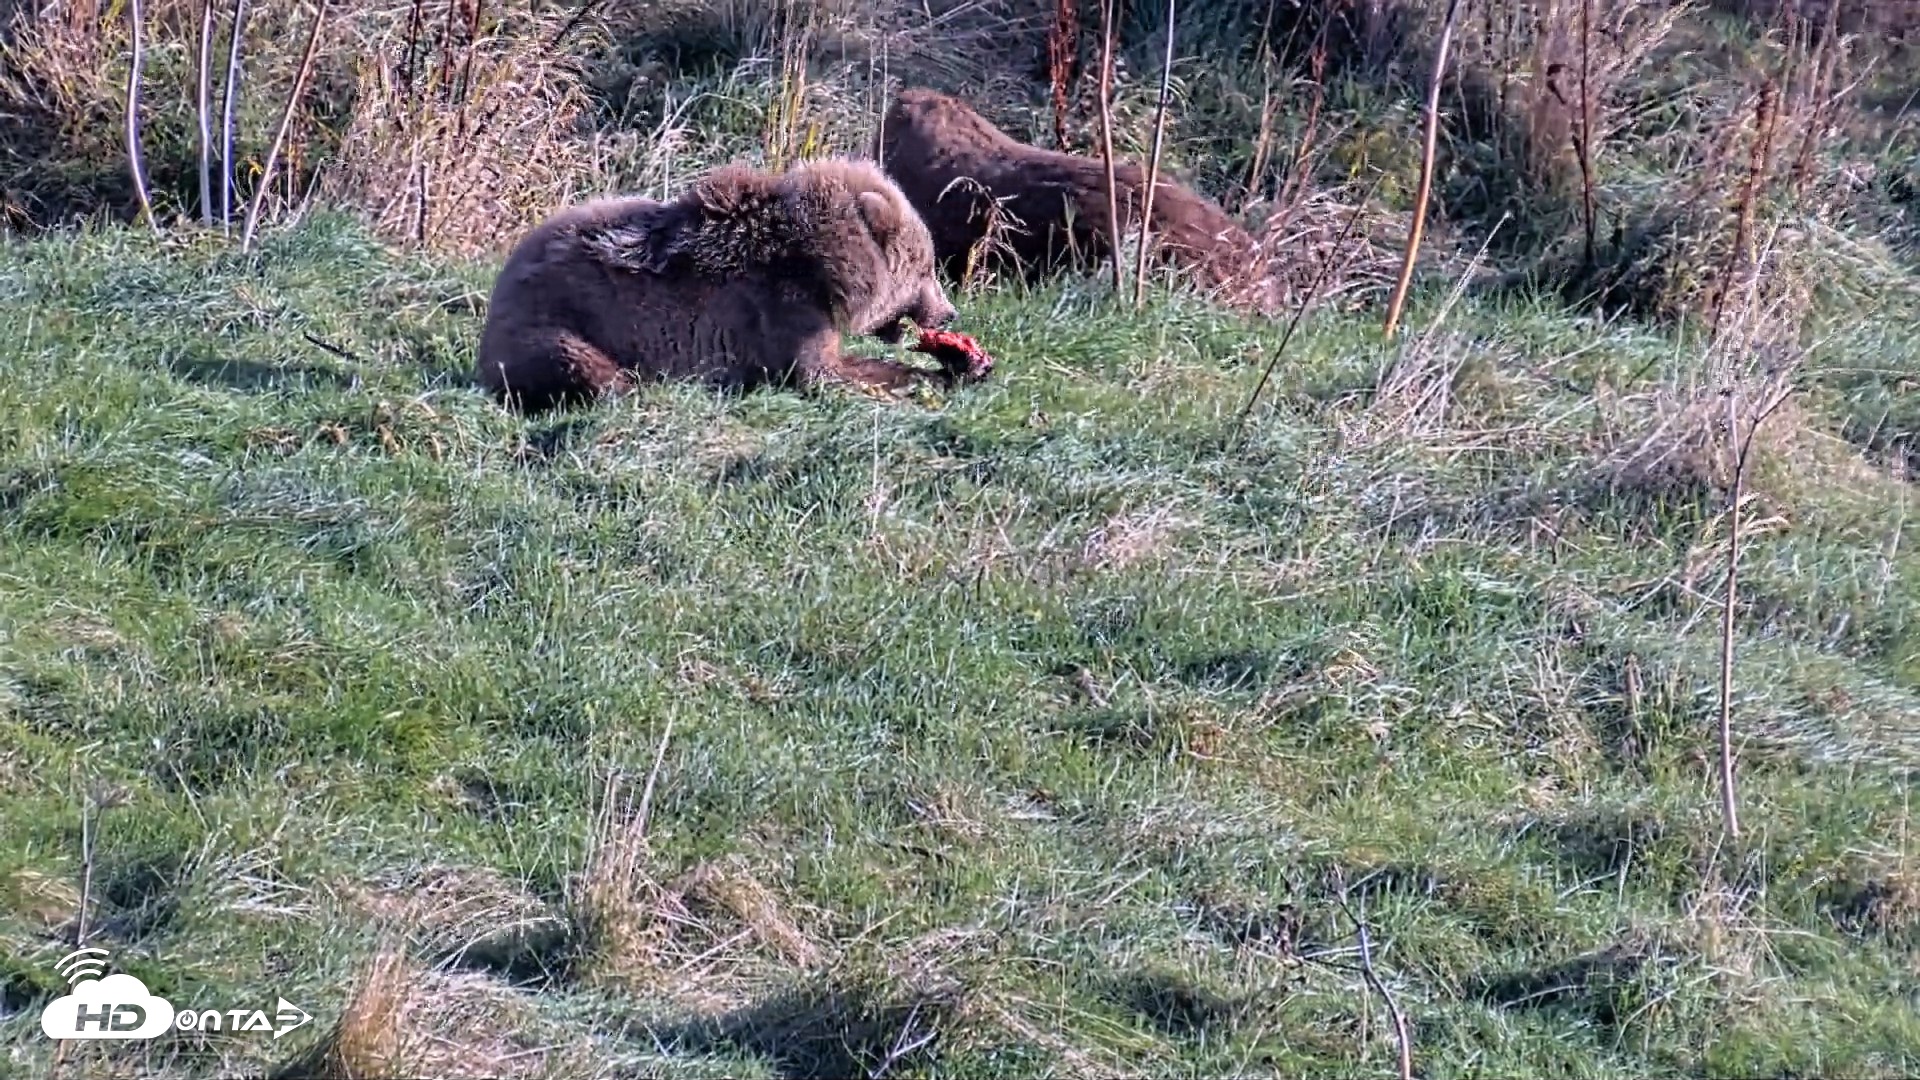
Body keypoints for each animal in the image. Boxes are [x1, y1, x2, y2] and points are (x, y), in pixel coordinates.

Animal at [474, 155, 985, 414]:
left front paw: (963, 364)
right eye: (927, 268)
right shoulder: (782, 308)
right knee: (585, 368)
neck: (824, 266)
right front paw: (940, 372)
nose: (949, 312)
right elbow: (820, 372)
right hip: (558, 320)